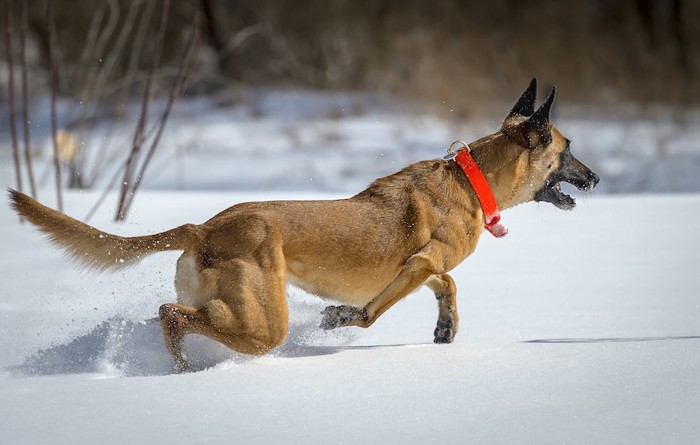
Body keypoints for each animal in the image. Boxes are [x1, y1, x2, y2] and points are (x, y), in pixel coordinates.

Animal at [8, 78, 600, 370]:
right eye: (568, 149)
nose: (595, 177)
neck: (471, 178)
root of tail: (202, 228)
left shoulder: (424, 266)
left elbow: (447, 284)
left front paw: (445, 326)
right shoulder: (418, 262)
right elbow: (374, 312)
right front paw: (341, 317)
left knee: (174, 313)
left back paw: (180, 368)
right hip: (264, 320)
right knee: (171, 315)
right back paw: (185, 369)